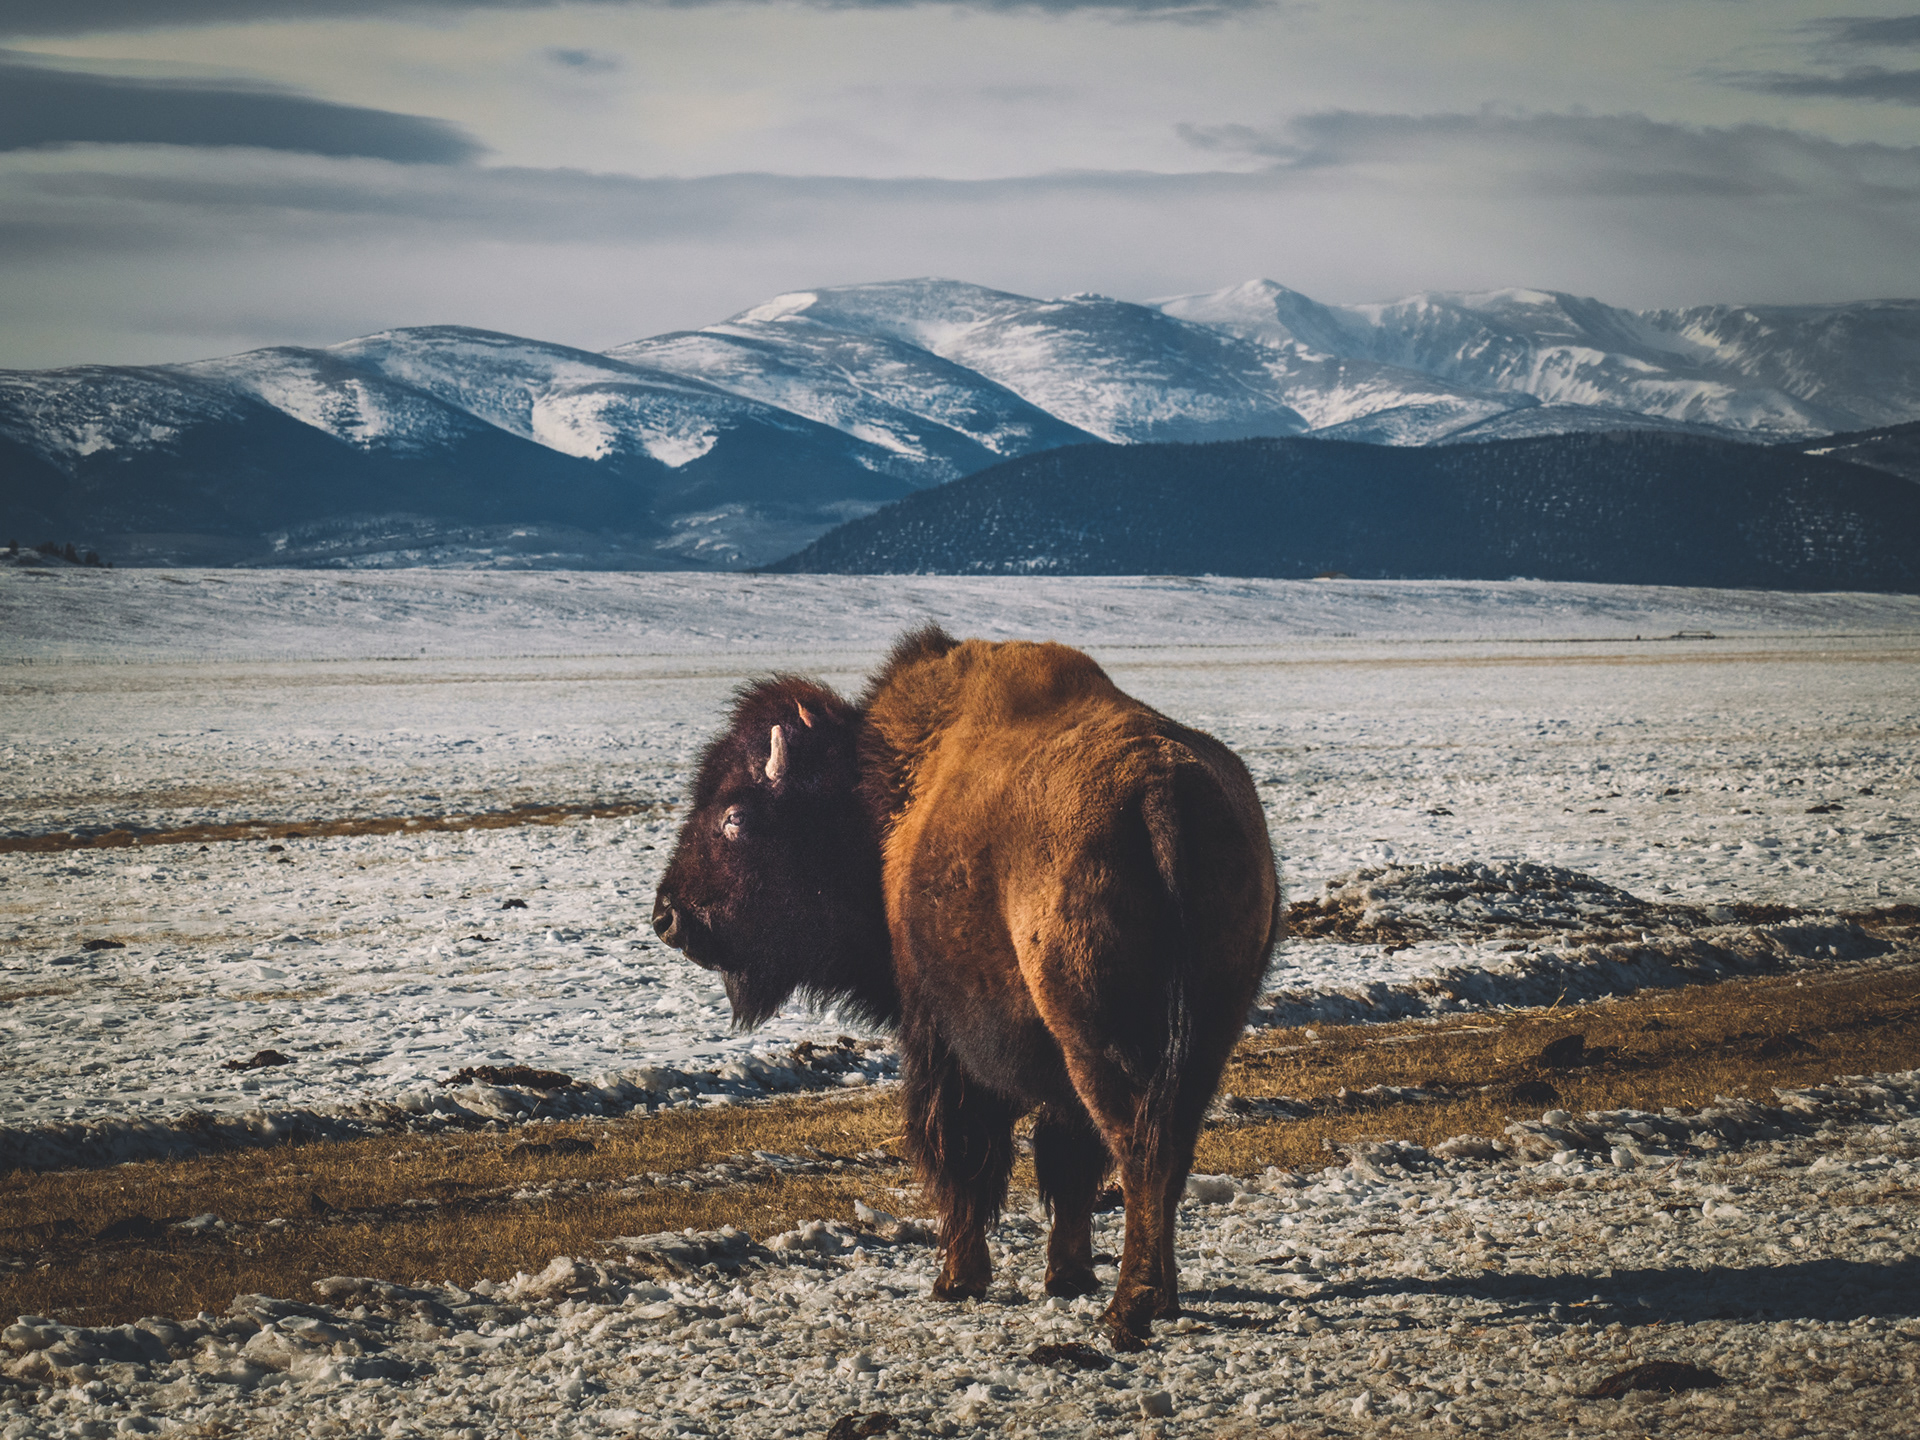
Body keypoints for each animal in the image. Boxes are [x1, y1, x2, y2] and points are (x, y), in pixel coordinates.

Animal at [652, 626, 1279, 1346]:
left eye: (736, 817)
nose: (668, 916)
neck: (881, 796)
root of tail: (1161, 792)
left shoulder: (938, 1040)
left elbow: (962, 1154)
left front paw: (957, 1280)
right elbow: (1063, 1163)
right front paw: (1065, 1276)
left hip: (1102, 1041)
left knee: (1137, 1146)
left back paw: (1130, 1306)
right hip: (1201, 1036)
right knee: (1166, 1149)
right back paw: (1161, 1296)